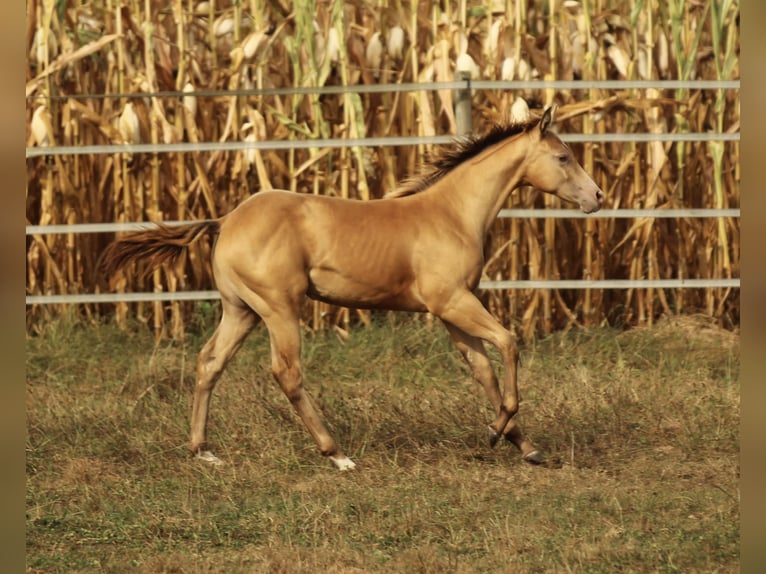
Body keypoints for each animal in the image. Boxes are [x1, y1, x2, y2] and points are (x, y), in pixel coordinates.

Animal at [103, 106, 608, 470]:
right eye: (563, 157)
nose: (598, 197)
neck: (451, 213)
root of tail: (225, 220)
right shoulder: (453, 302)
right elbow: (508, 342)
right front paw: (497, 430)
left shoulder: (450, 311)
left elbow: (482, 369)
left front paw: (520, 443)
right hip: (279, 308)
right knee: (286, 372)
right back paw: (337, 454)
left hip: (241, 309)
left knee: (210, 362)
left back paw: (203, 450)